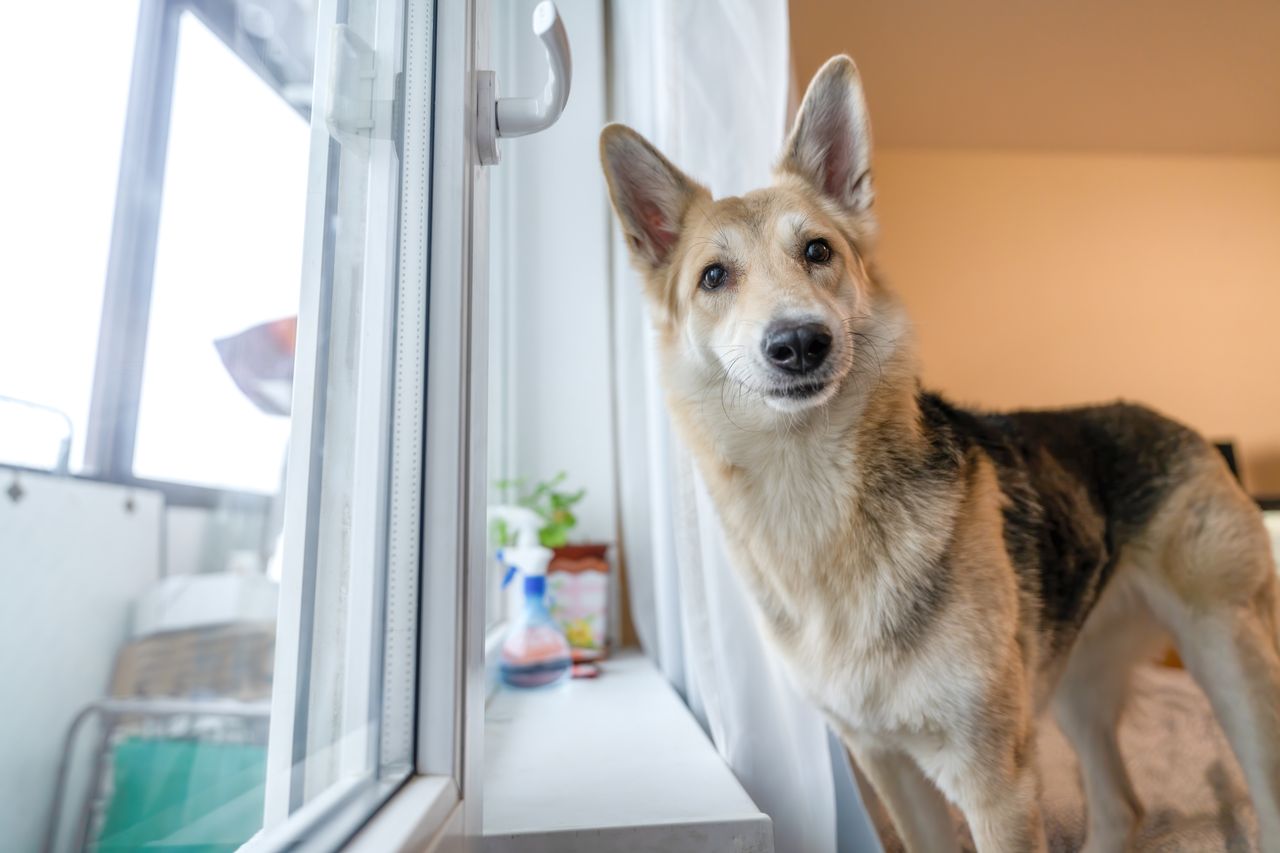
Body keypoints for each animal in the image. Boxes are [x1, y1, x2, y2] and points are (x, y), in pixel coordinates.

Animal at [599, 54, 1280, 850]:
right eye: (714, 276)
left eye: (817, 251)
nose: (799, 342)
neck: (815, 502)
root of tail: (1171, 421)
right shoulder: (888, 766)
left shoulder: (995, 781)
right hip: (1075, 682)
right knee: (1123, 807)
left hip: (1227, 652)